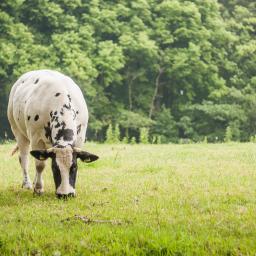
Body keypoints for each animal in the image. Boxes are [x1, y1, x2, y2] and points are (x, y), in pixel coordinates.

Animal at [6, 69, 99, 198]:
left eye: (74, 167)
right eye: (54, 168)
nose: (65, 195)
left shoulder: (80, 139)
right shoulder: (36, 138)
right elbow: (40, 165)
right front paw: (38, 189)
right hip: (17, 130)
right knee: (24, 157)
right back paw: (27, 184)